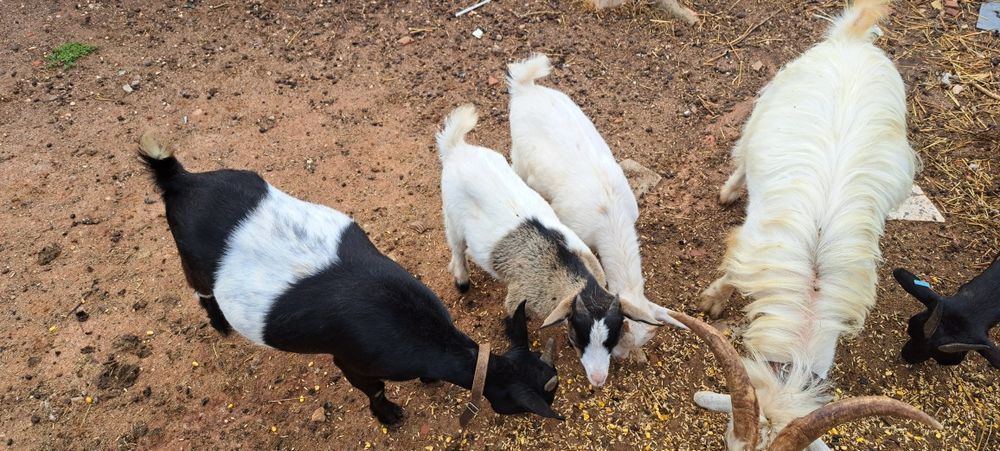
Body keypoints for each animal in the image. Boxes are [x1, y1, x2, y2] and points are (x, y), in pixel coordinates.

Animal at [138, 132, 562, 426]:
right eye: (537, 403)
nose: (554, 412)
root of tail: (181, 181)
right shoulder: (351, 359)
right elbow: (373, 390)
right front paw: (390, 416)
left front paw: (428, 382)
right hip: (191, 260)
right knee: (202, 292)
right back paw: (221, 326)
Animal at [437, 104, 662, 387]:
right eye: (578, 336)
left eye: (612, 338)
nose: (598, 379)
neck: (565, 268)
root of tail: (457, 148)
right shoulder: (518, 296)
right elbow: (513, 322)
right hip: (451, 212)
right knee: (456, 245)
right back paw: (461, 280)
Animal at [686, 1, 940, 448]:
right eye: (728, 442)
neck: (810, 294)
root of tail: (851, 41)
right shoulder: (750, 246)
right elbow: (731, 274)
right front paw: (712, 301)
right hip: (767, 103)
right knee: (744, 152)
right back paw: (730, 190)